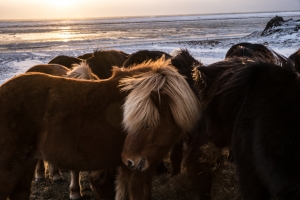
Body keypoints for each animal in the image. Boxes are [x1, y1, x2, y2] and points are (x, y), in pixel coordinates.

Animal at [0, 57, 202, 200]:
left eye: (147, 124)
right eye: (137, 123)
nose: (129, 159)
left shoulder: (134, 169)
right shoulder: (137, 172)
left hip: (25, 167)